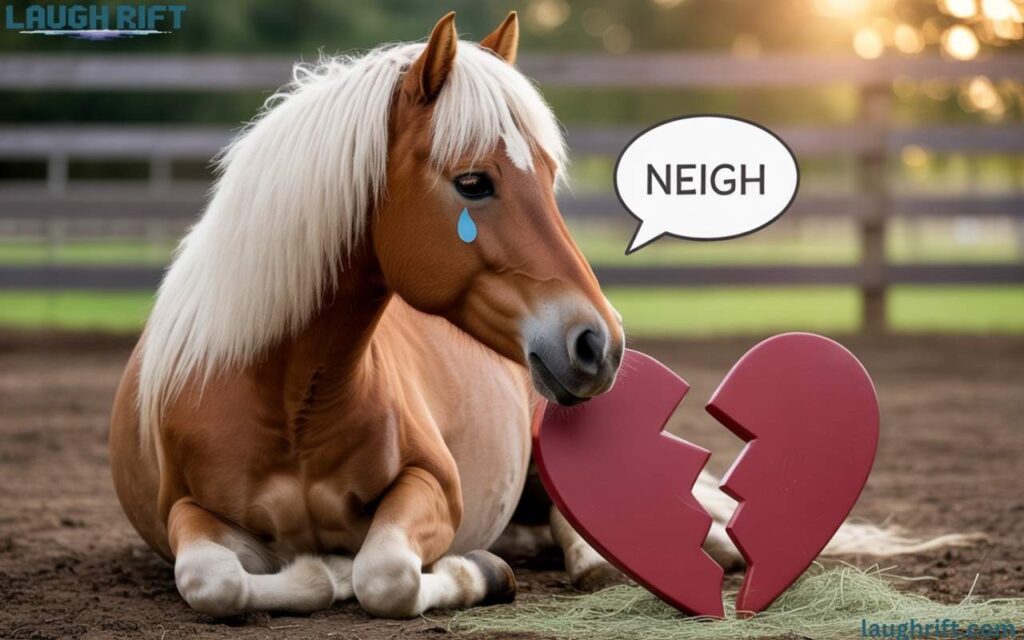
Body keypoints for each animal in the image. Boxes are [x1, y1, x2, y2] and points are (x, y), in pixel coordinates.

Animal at [110, 11, 973, 620]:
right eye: (473, 182)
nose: (598, 344)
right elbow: (216, 581)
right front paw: (320, 570)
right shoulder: (186, 513)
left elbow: (385, 575)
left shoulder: (436, 487)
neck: (289, 399)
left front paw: (469, 573)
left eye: (550, 176)